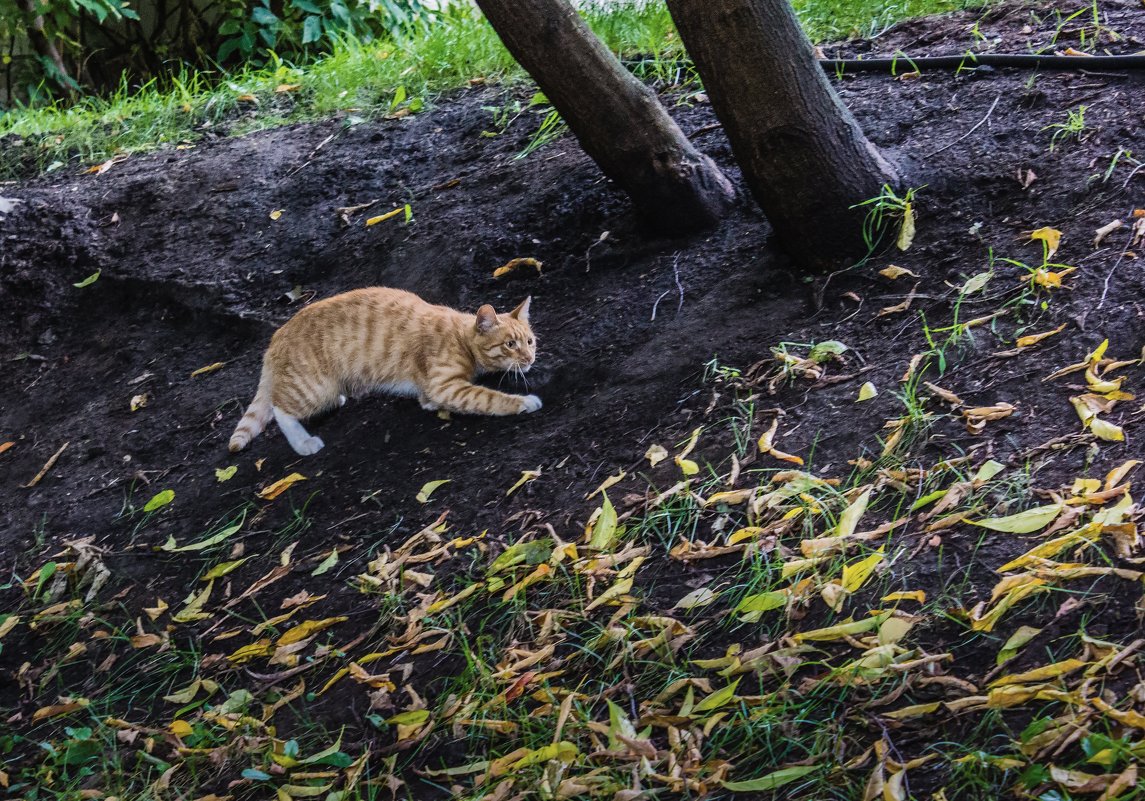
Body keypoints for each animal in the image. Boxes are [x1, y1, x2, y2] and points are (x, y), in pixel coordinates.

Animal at [231, 288, 540, 453]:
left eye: (530, 341)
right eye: (510, 344)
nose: (529, 357)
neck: (461, 336)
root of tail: (277, 335)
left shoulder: (435, 386)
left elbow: (427, 397)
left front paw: (428, 404)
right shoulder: (446, 385)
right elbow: (490, 398)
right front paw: (524, 402)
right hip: (314, 389)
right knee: (279, 408)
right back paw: (303, 442)